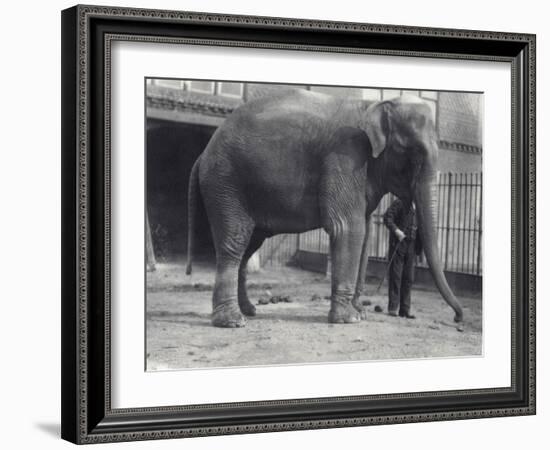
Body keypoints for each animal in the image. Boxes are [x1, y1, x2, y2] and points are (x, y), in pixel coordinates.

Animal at [187, 90, 466, 330]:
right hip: (226, 183)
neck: (374, 106)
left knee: (249, 246)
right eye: (415, 153)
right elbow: (348, 227)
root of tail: (203, 153)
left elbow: (365, 234)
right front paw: (349, 319)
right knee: (235, 241)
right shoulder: (346, 156)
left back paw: (250, 311)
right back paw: (232, 321)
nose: (458, 318)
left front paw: (360, 313)